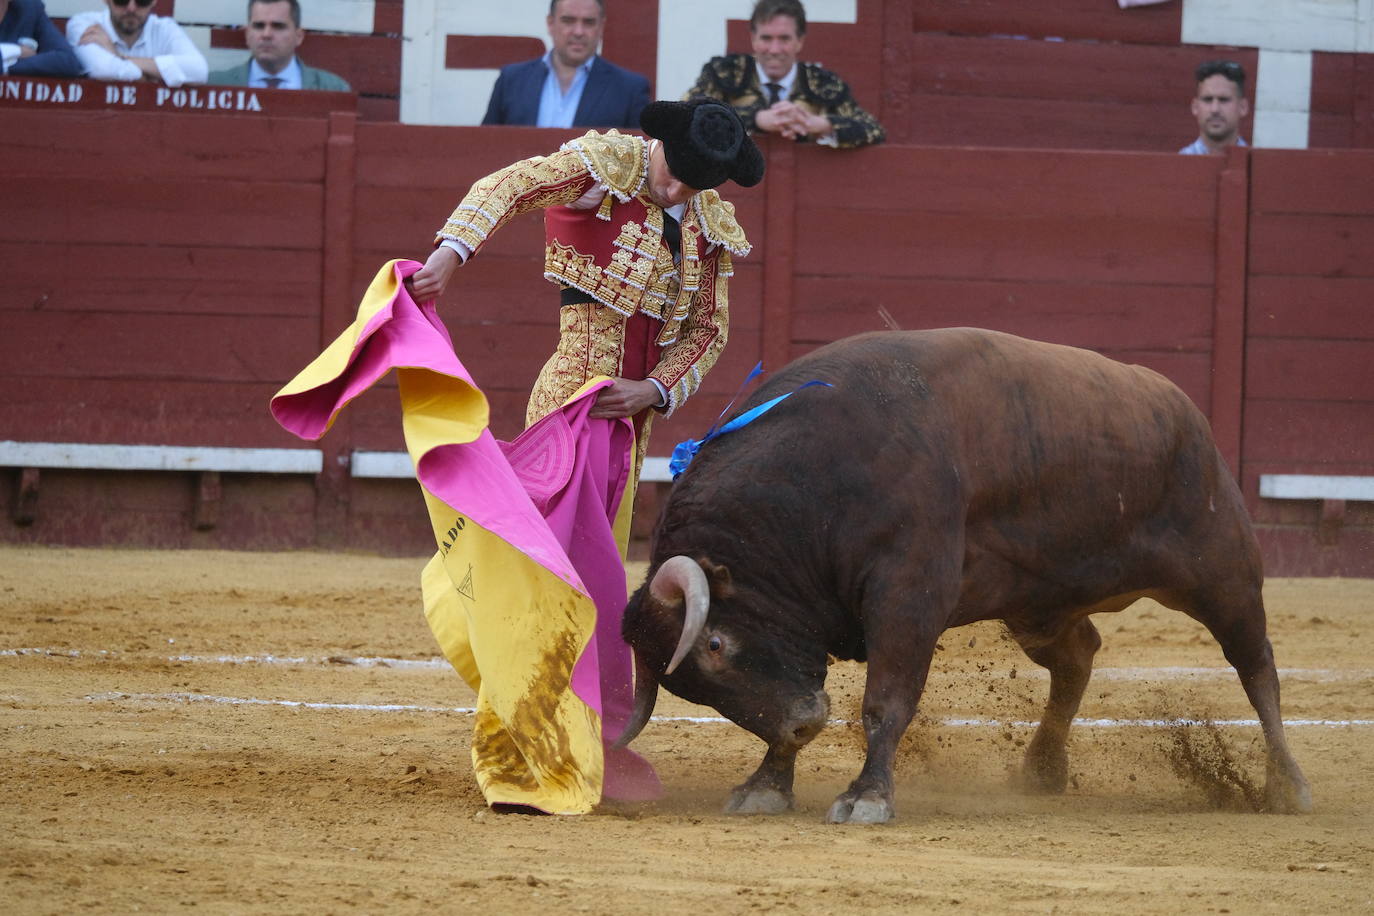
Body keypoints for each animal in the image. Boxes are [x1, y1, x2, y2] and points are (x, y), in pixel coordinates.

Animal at [618, 328, 1313, 823]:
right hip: (1039, 605)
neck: (811, 487)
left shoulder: (908, 596)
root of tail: (1184, 411)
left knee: (1257, 664)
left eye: (715, 644)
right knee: (1078, 656)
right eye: (692, 689)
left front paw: (867, 798)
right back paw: (1042, 770)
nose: (800, 726)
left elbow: (885, 701)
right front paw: (766, 784)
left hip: (1222, 571)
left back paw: (1287, 784)